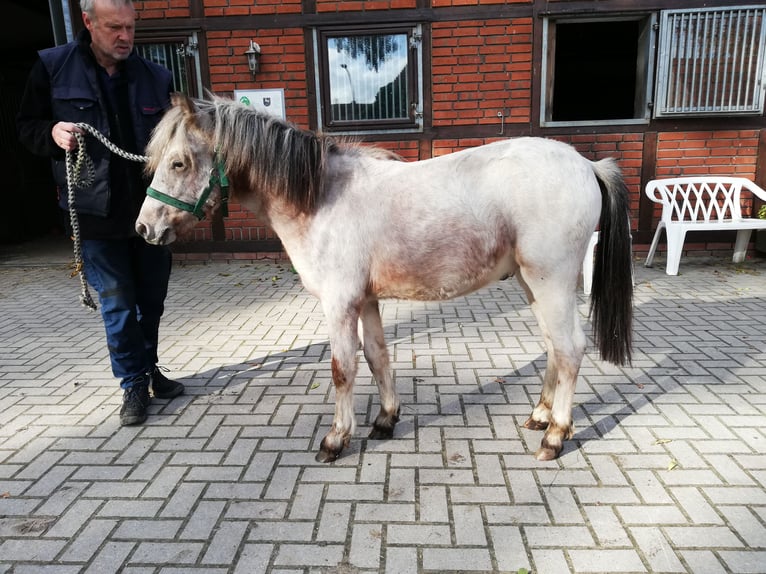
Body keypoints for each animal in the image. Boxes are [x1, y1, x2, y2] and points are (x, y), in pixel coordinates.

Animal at [138, 94, 636, 464]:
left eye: (179, 163)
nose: (144, 229)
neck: (320, 196)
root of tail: (586, 165)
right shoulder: (367, 300)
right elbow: (378, 358)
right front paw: (385, 421)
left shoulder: (339, 303)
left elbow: (342, 369)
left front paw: (336, 440)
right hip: (532, 284)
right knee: (553, 347)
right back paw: (539, 416)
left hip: (551, 282)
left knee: (570, 349)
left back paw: (554, 437)